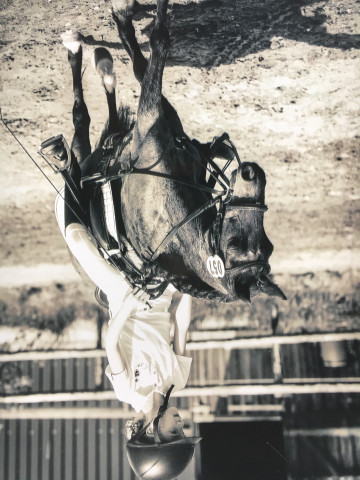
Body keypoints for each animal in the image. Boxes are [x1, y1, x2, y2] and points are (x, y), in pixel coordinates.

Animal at [46, 0, 286, 304]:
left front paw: (125, 15)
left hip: (78, 177)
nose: (251, 173)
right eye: (267, 244)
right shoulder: (163, 120)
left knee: (81, 121)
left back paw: (79, 53)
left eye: (235, 245)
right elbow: (142, 64)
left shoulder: (150, 121)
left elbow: (156, 44)